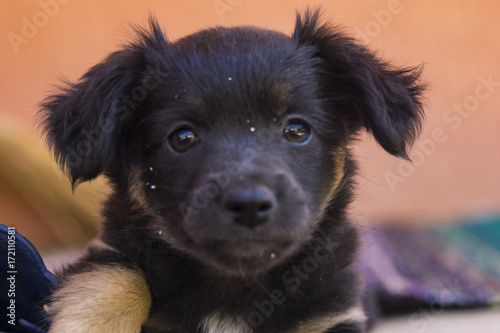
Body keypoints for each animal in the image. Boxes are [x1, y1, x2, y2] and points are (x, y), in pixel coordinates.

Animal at [39, 7, 424, 332]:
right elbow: (116, 274)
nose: (250, 204)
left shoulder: (333, 313)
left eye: (297, 130)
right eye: (182, 138)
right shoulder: (110, 247)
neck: (236, 281)